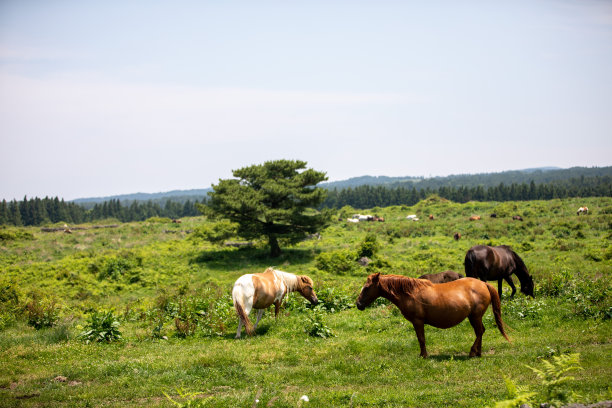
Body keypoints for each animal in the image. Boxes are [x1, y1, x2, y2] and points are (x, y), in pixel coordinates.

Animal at [356, 274, 510, 356]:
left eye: (367, 287)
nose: (358, 304)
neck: (410, 293)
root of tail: (484, 284)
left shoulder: (418, 321)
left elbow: (421, 339)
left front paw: (423, 355)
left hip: (475, 316)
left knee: (479, 332)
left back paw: (473, 352)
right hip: (474, 317)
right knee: (480, 331)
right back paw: (478, 353)